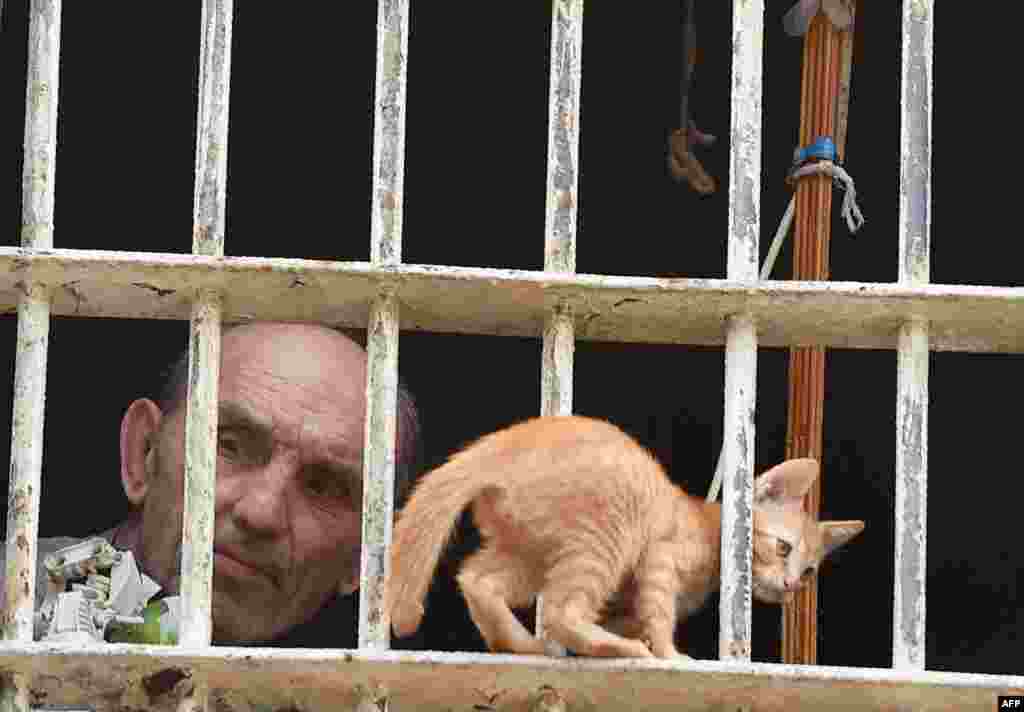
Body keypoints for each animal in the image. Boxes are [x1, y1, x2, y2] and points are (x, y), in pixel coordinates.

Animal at [387, 417, 860, 655]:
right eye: (782, 548)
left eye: (810, 572)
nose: (789, 585)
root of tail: (502, 443)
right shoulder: (662, 558)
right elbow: (660, 616)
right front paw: (669, 654)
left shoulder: (630, 604)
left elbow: (638, 615)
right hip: (607, 534)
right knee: (561, 610)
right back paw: (614, 649)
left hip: (530, 552)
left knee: (478, 579)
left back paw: (518, 644)